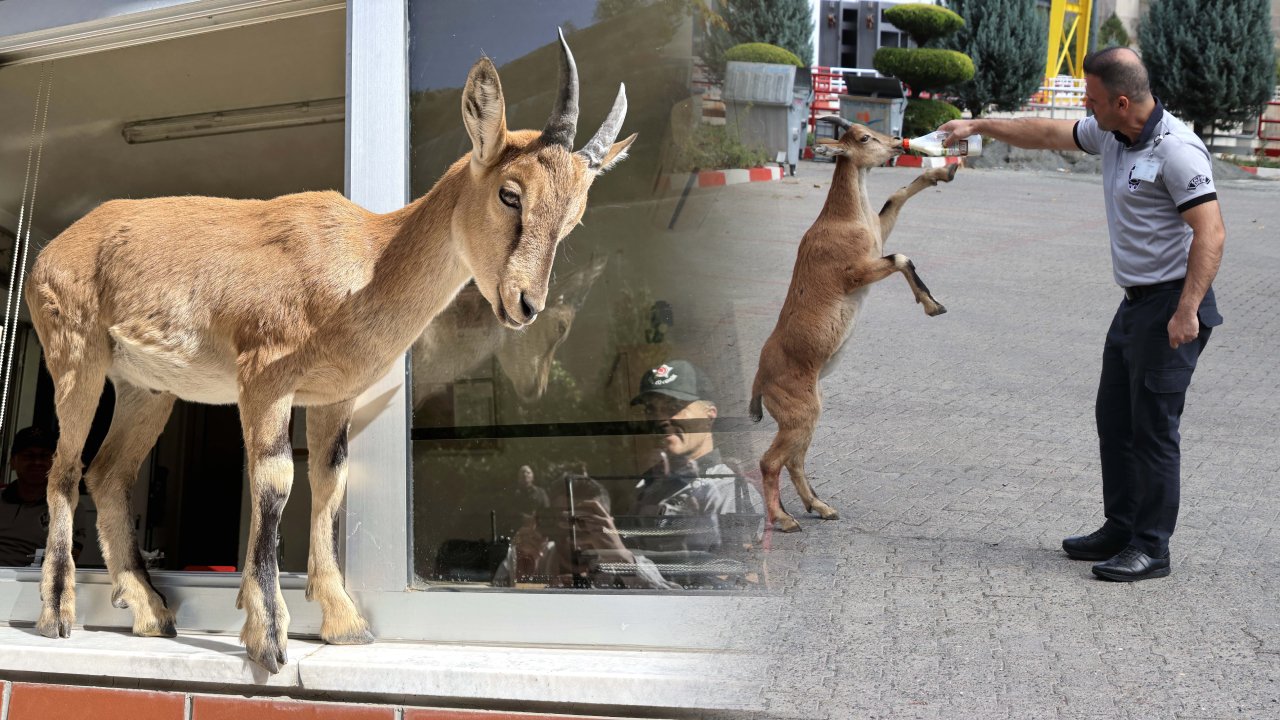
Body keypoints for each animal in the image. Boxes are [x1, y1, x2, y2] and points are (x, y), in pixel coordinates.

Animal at [747, 117, 952, 530]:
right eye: (864, 137)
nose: (897, 143)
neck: (845, 220)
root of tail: (760, 380)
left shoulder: (878, 234)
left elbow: (897, 198)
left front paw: (942, 172)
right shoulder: (857, 272)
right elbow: (902, 257)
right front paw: (931, 305)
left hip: (807, 414)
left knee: (794, 459)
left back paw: (820, 507)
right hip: (799, 413)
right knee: (771, 461)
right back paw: (784, 519)